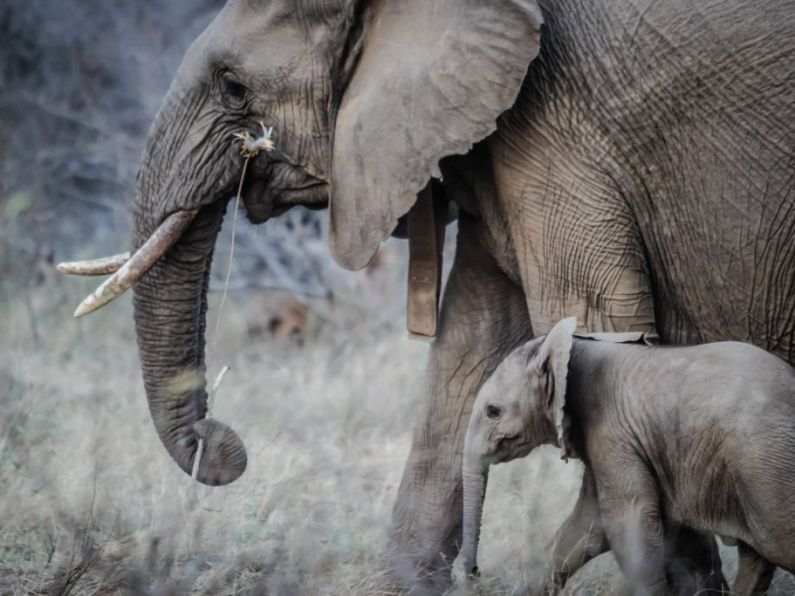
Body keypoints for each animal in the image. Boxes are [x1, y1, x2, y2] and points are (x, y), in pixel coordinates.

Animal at [460, 318, 795, 596]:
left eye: (493, 411)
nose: (475, 573)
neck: (571, 348)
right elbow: (584, 530)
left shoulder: (613, 431)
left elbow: (628, 523)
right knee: (756, 558)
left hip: (764, 462)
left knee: (776, 542)